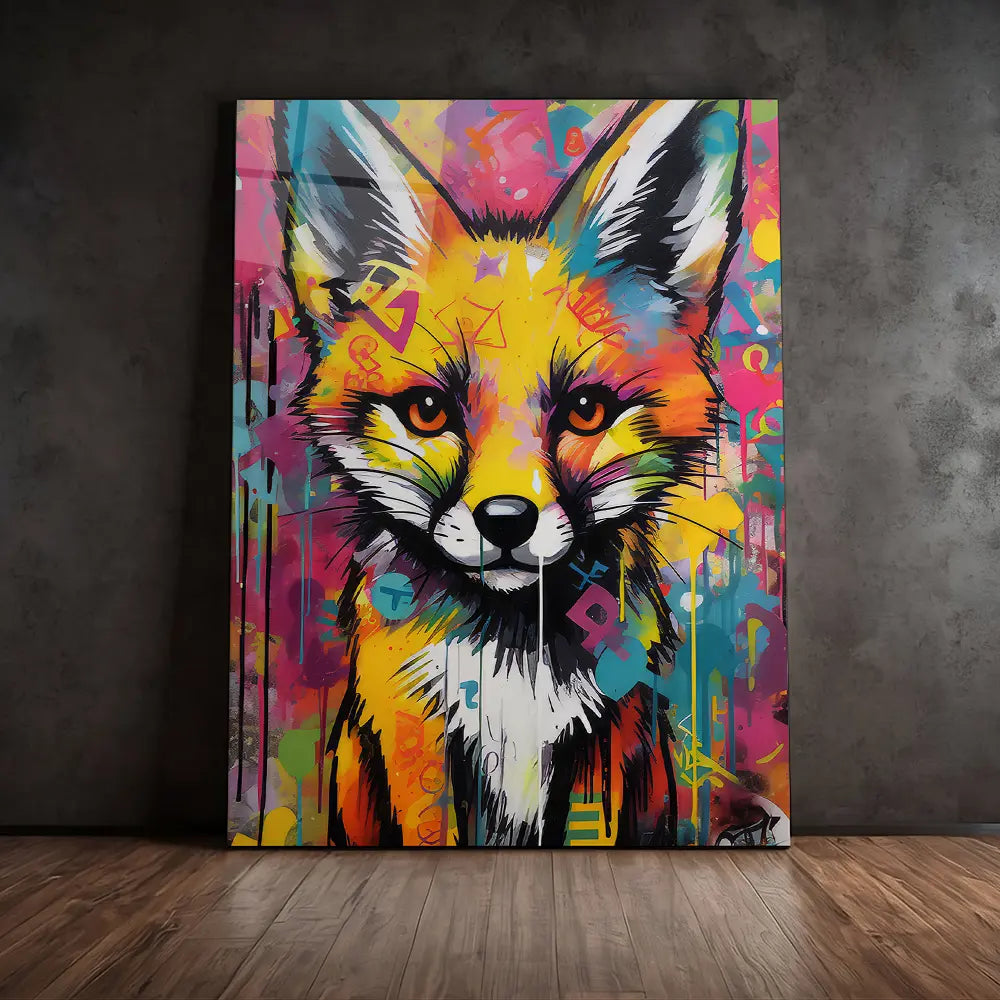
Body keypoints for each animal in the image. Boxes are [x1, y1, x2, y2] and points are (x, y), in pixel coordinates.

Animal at [275, 99, 746, 847]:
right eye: (429, 411)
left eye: (586, 410)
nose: (505, 522)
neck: (511, 669)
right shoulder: (415, 742)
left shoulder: (603, 744)